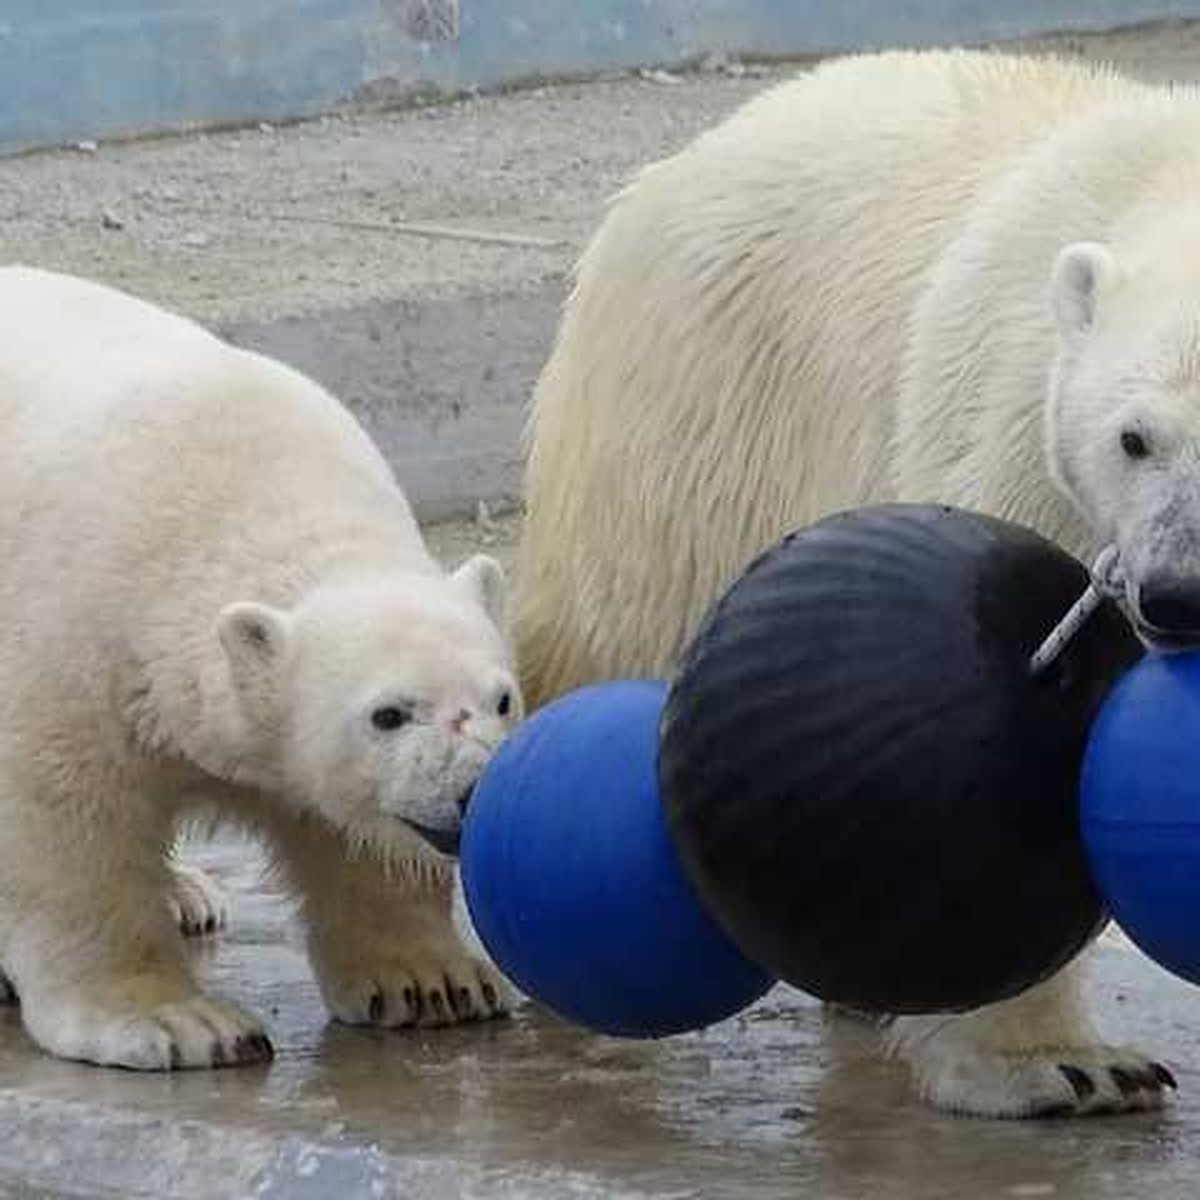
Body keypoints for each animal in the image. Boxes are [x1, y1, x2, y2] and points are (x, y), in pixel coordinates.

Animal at [0, 265, 516, 1070]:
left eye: (502, 700)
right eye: (388, 714)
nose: (472, 789)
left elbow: (354, 841)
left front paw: (431, 982)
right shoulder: (70, 642)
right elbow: (67, 824)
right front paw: (179, 1023)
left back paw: (186, 894)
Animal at [513, 51, 1190, 1118]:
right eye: (1134, 438)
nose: (1173, 595)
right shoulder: (1020, 437)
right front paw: (1059, 1067)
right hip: (696, 416)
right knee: (607, 632)